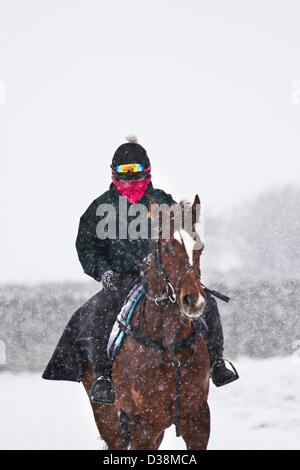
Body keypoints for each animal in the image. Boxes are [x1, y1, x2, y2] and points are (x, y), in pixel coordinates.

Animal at [81, 196, 210, 450]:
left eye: (199, 247)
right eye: (168, 247)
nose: (194, 301)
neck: (169, 347)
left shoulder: (198, 417)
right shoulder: (143, 423)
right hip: (107, 418)